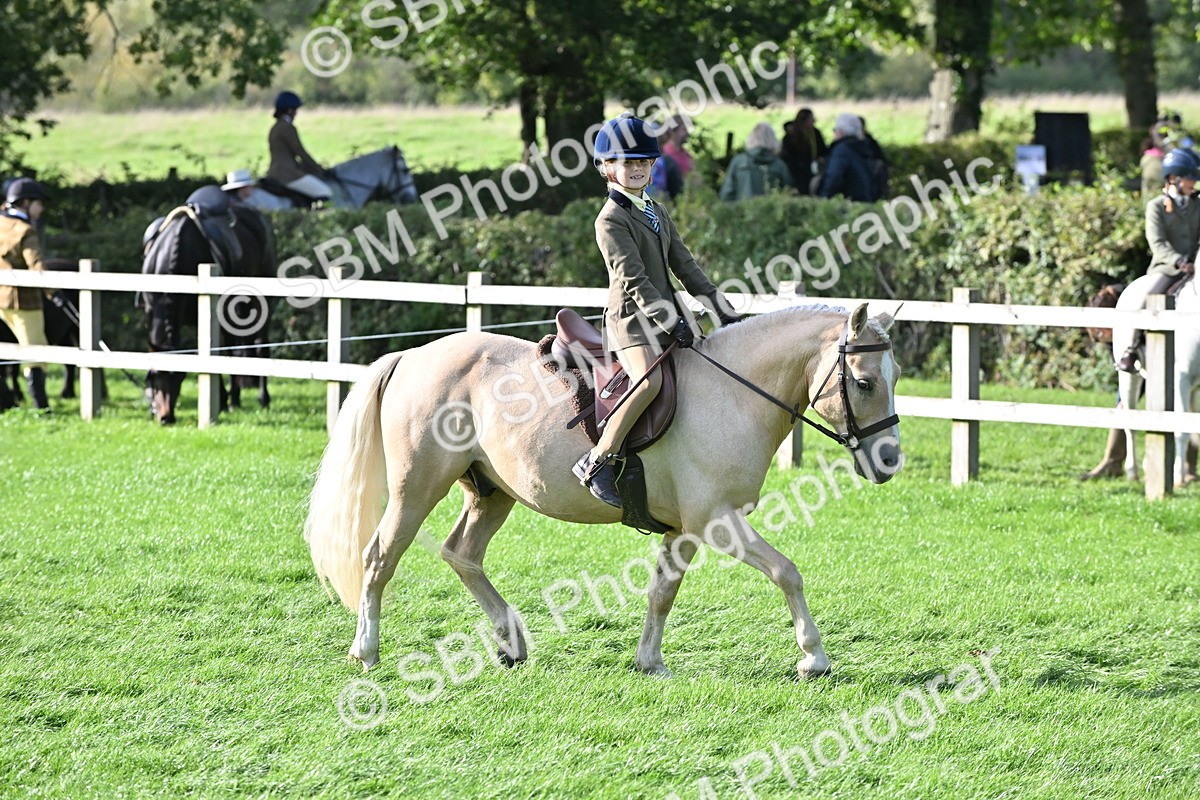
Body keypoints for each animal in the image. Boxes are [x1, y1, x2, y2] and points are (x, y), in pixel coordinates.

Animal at [139, 186, 277, 424]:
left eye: (180, 378)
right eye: (154, 376)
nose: (166, 417)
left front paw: (221, 401)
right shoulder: (151, 311)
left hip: (257, 304)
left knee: (259, 346)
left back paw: (257, 398)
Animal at [303, 303, 902, 679]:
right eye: (865, 382)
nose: (889, 461)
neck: (732, 393)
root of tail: (413, 355)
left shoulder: (685, 530)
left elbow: (662, 592)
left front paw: (649, 661)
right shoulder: (717, 521)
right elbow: (786, 572)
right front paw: (814, 658)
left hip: (491, 492)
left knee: (462, 554)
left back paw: (511, 641)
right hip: (416, 488)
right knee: (380, 557)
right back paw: (367, 650)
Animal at [1109, 273, 1200, 484]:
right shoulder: (1182, 379)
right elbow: (1182, 430)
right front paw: (1178, 477)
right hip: (1129, 378)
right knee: (1131, 423)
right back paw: (1133, 471)